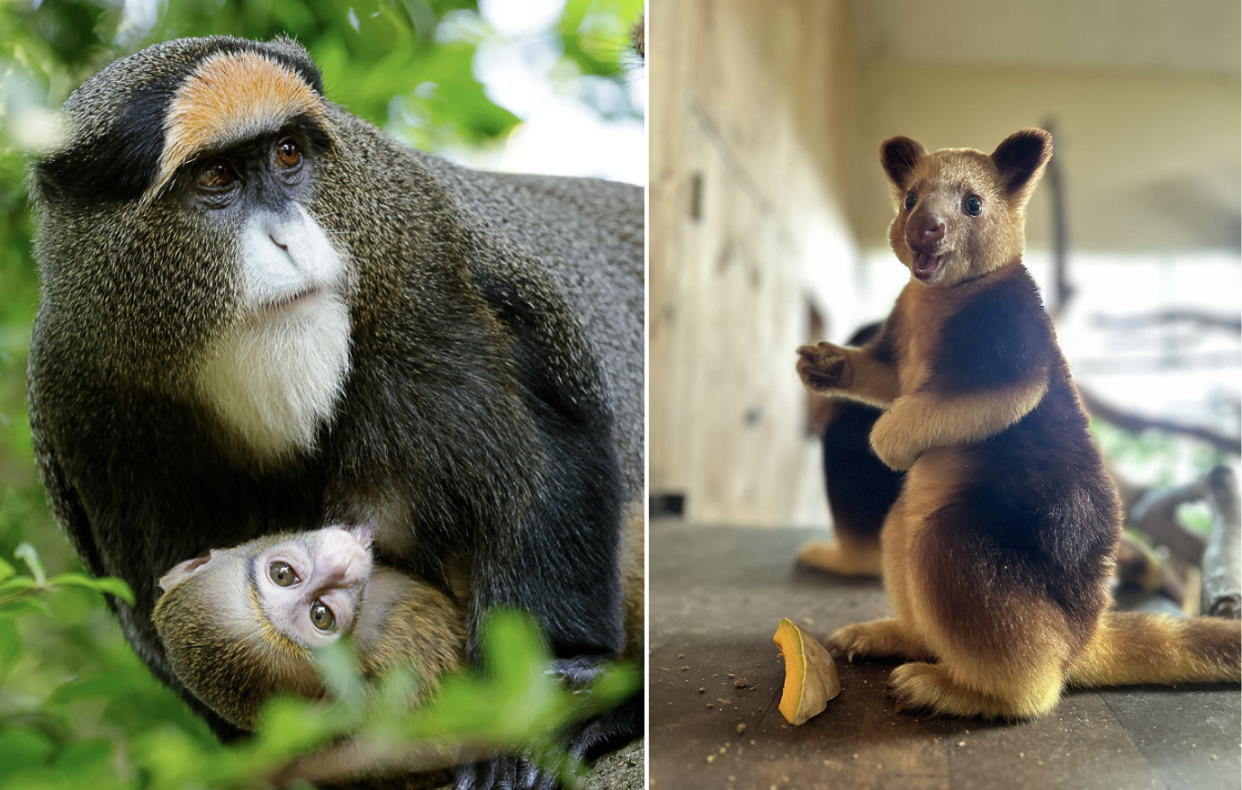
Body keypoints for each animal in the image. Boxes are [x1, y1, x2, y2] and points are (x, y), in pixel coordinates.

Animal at [27, 32, 640, 785]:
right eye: (216, 176)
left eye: (288, 154)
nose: (288, 239)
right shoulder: (82, 408)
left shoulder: (425, 254)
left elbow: (546, 464)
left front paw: (537, 718)